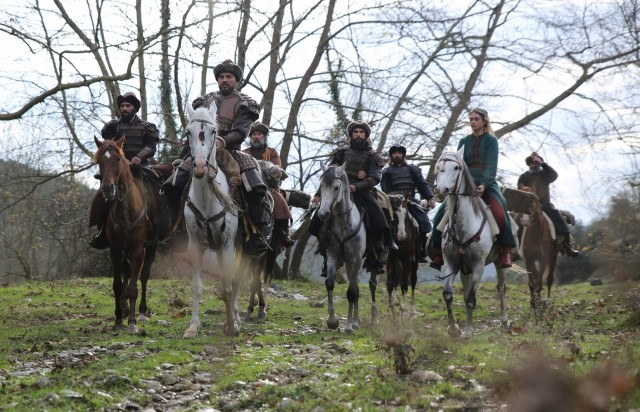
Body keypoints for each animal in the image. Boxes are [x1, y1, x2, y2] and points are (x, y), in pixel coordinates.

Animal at [93, 137, 169, 334]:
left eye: (118, 159)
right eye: (99, 161)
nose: (108, 188)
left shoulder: (137, 250)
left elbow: (134, 287)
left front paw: (133, 323)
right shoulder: (115, 251)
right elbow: (118, 286)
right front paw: (119, 320)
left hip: (150, 248)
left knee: (143, 276)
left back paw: (141, 312)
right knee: (126, 275)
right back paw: (125, 307)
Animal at [318, 163, 368, 332]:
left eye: (336, 187)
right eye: (321, 186)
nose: (322, 214)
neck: (344, 225)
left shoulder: (355, 259)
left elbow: (351, 291)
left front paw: (349, 325)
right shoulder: (333, 257)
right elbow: (329, 283)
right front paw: (332, 321)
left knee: (355, 288)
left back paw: (356, 322)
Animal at [436, 150, 510, 336]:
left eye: (456, 167)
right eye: (439, 167)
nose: (440, 190)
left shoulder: (478, 266)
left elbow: (471, 298)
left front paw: (468, 331)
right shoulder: (451, 264)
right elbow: (448, 294)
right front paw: (453, 327)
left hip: (499, 263)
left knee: (501, 288)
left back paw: (504, 320)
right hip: (464, 269)